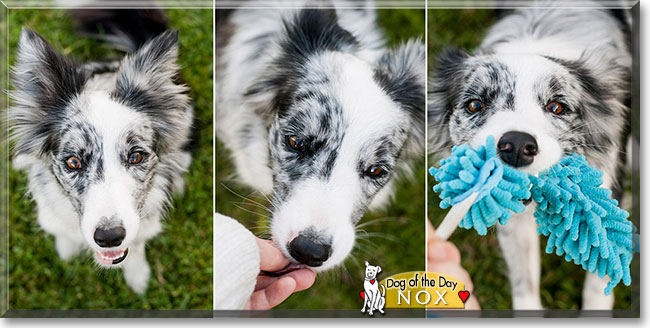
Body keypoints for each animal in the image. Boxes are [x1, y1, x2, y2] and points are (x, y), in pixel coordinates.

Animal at [8, 10, 192, 294]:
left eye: (136, 156)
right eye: (73, 162)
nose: (109, 237)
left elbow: (136, 247)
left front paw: (138, 277)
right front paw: (66, 250)